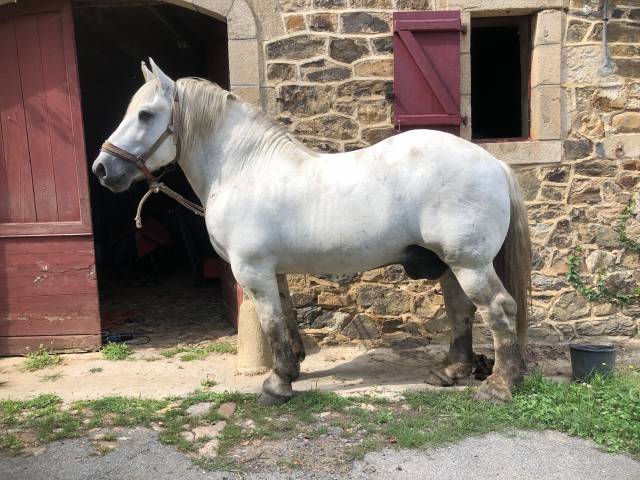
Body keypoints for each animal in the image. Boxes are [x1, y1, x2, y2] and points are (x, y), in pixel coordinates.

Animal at [93, 60, 531, 405]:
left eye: (145, 114)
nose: (102, 169)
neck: (243, 169)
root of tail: (493, 163)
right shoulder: (274, 273)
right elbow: (286, 320)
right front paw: (292, 369)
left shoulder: (252, 271)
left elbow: (271, 324)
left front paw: (276, 385)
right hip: (452, 264)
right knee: (462, 312)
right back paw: (451, 372)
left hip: (470, 263)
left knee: (498, 309)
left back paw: (500, 386)